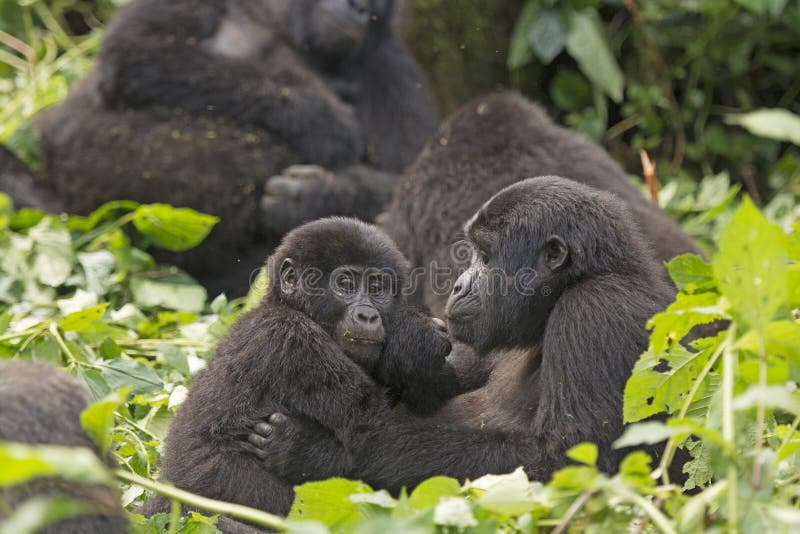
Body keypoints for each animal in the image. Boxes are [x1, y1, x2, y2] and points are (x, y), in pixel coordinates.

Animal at [39, 0, 438, 294]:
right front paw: (319, 118)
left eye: (377, 2)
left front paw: (314, 195)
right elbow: (141, 49)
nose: (359, 6)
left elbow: (405, 180)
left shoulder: (387, 63)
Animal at [138, 218, 462, 520]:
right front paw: (415, 340)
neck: (290, 306)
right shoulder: (292, 339)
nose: (368, 316)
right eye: (345, 285)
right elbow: (374, 429)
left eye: (377, 289)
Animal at [247, 177, 684, 494]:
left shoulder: (596, 311)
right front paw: (410, 343)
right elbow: (441, 383)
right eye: (471, 253)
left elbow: (565, 466)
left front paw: (320, 452)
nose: (457, 286)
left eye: (486, 258)